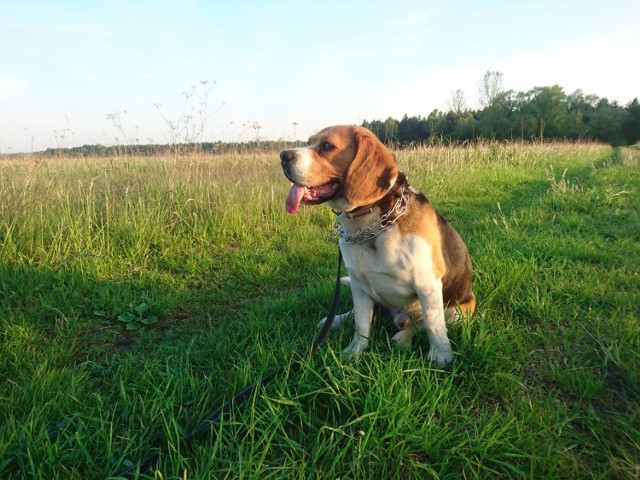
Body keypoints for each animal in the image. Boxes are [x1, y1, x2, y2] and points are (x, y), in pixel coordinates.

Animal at [280, 125, 476, 366]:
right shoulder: (359, 284)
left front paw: (441, 354)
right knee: (358, 313)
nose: (283, 156)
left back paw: (404, 336)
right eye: (309, 142)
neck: (370, 223)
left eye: (327, 146)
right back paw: (334, 320)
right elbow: (361, 324)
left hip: (458, 312)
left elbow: (433, 324)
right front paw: (355, 351)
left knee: (423, 323)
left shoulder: (427, 284)